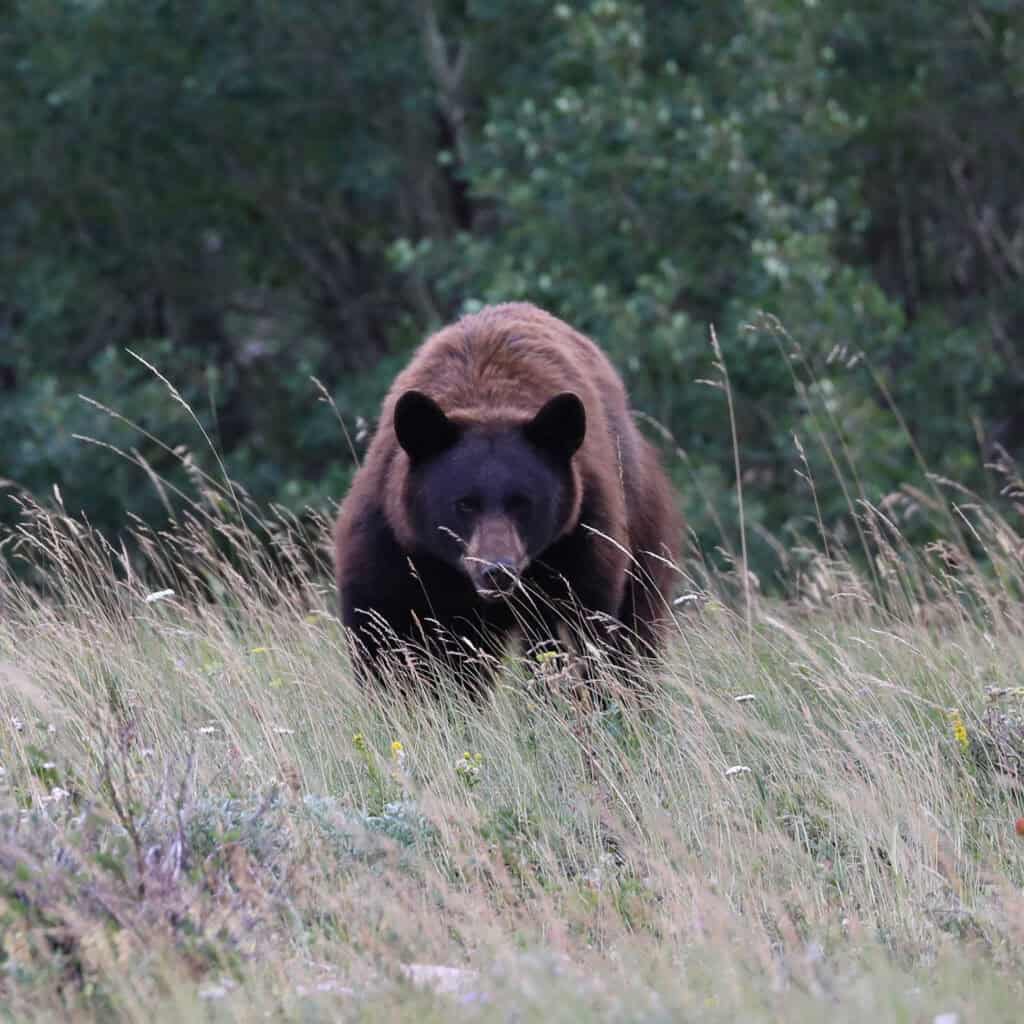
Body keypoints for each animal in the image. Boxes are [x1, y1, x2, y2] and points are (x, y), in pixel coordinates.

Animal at [333, 302, 682, 695]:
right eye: (464, 503)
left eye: (523, 502)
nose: (497, 571)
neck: (486, 396)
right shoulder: (392, 543)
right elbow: (382, 632)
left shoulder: (581, 541)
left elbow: (588, 632)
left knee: (632, 632)